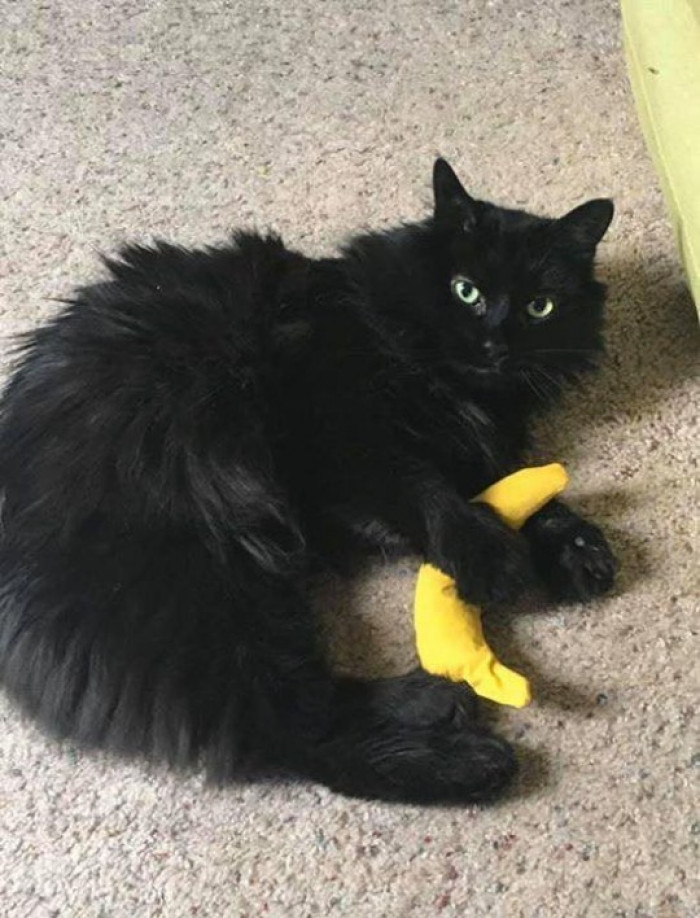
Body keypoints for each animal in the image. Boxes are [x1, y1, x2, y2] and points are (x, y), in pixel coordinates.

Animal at [0, 160, 616, 804]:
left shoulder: (466, 444)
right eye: (464, 290)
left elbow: (522, 487)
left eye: (540, 307)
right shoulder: (342, 433)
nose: (494, 346)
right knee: (291, 730)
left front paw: (577, 550)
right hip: (205, 580)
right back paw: (461, 745)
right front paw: (492, 558)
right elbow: (427, 493)